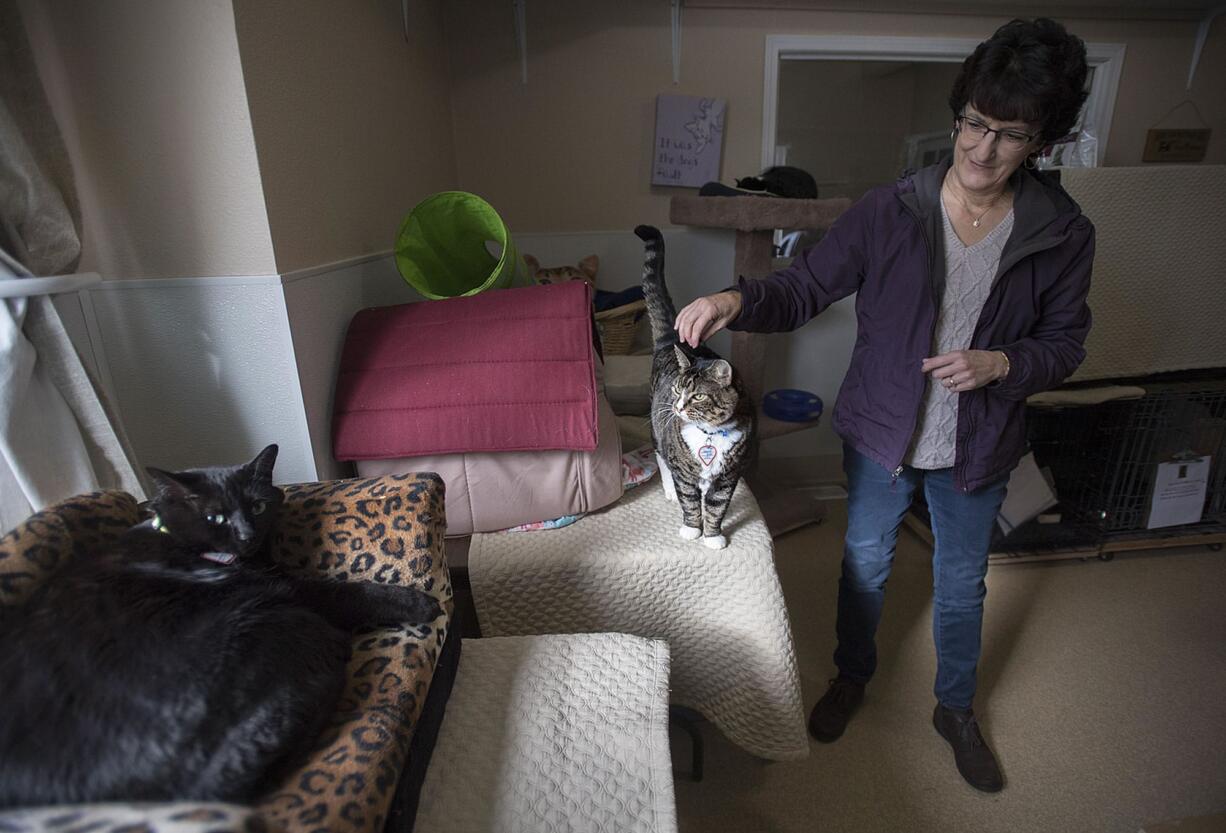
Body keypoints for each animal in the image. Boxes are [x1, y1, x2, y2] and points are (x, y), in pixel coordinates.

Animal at [0, 446, 441, 809]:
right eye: (215, 516)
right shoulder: (293, 591)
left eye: (258, 506)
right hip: (286, 623)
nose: (246, 534)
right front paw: (420, 603)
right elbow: (352, 592)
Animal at [637, 224, 750, 549]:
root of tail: (671, 340)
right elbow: (690, 501)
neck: (710, 436)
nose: (677, 407)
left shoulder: (729, 475)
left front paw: (713, 537)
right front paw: (691, 529)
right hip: (655, 428)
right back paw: (669, 491)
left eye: (698, 396)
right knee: (660, 458)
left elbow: (716, 506)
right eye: (678, 390)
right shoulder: (683, 470)